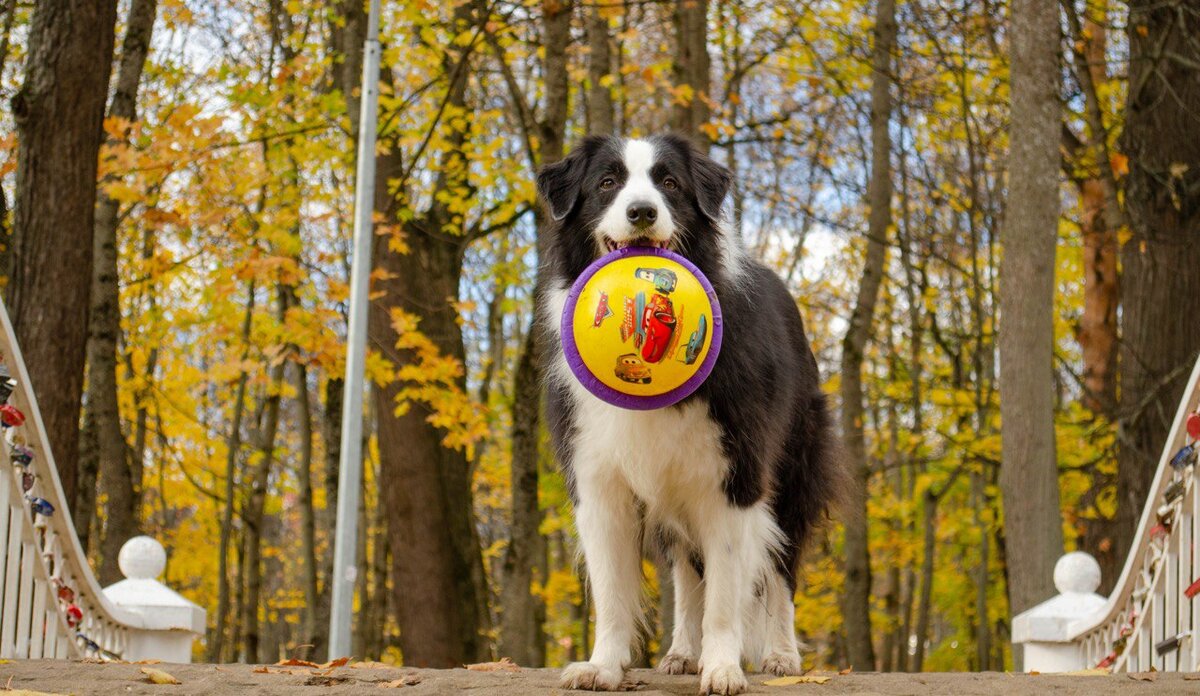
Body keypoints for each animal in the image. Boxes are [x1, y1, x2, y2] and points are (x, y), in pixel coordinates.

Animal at [535, 133, 844, 691]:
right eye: (606, 183)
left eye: (670, 183)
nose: (641, 212)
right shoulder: (597, 475)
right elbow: (613, 589)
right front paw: (602, 665)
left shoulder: (735, 475)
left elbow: (726, 588)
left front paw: (722, 668)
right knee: (685, 568)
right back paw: (681, 651)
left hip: (795, 465)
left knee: (781, 566)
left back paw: (782, 656)